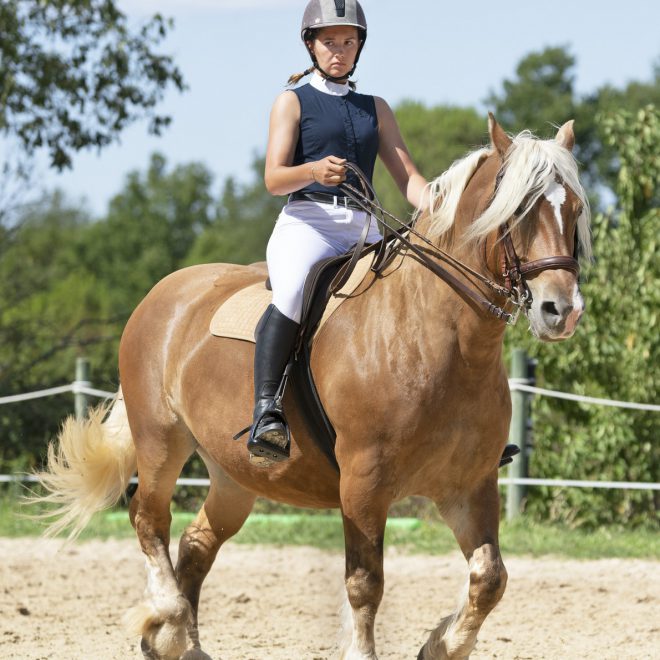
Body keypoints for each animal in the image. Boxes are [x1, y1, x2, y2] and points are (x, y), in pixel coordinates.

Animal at [34, 114, 591, 660]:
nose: (561, 310)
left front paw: (440, 645)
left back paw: (180, 642)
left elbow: (490, 578)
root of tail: (164, 292)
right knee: (149, 520)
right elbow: (365, 583)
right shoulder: (363, 484)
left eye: (575, 209)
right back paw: (165, 623)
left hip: (235, 475)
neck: (439, 339)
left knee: (196, 543)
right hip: (160, 441)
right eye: (520, 210)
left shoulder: (469, 485)